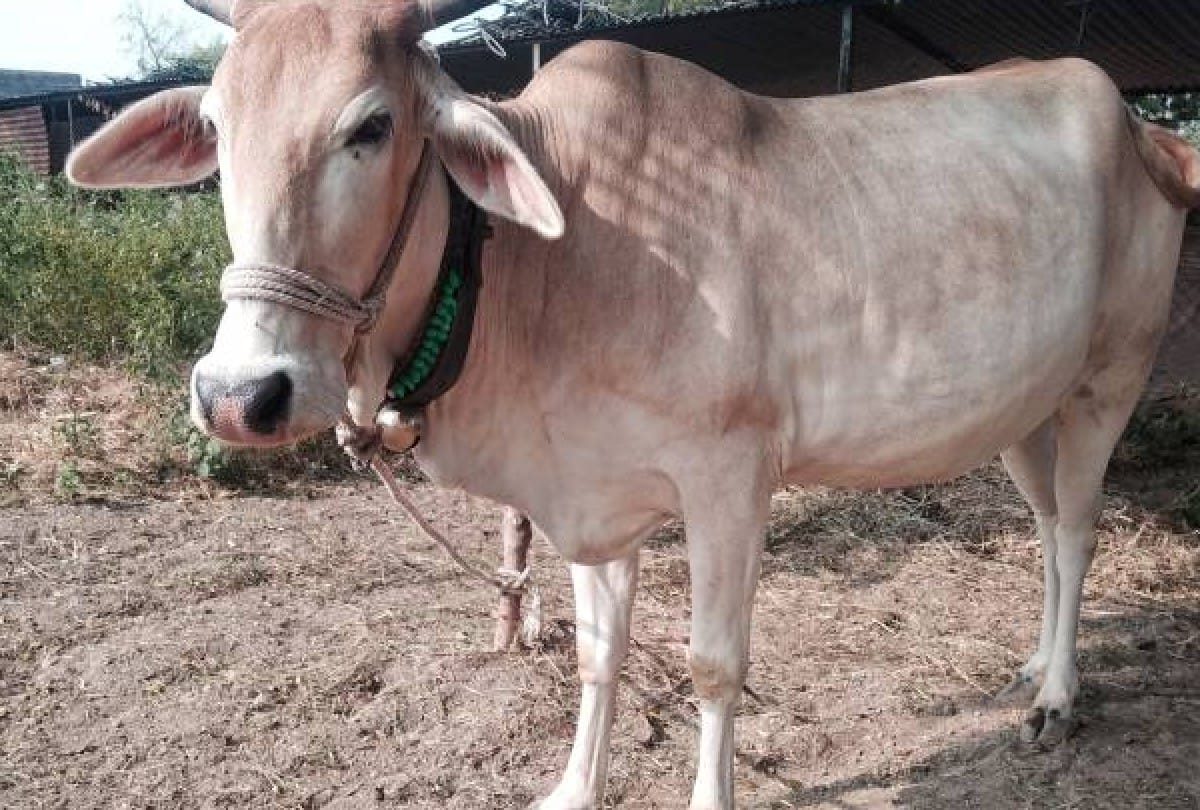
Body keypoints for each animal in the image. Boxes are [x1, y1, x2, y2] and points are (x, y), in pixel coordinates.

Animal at [65, 0, 1200, 806]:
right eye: (217, 128)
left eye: (372, 126)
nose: (239, 393)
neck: (550, 262)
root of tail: (1142, 126)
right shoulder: (588, 496)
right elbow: (596, 655)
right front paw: (574, 786)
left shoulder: (729, 477)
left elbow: (712, 666)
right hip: (1023, 408)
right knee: (1046, 528)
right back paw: (1034, 664)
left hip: (1108, 379)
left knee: (1079, 531)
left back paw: (1057, 696)